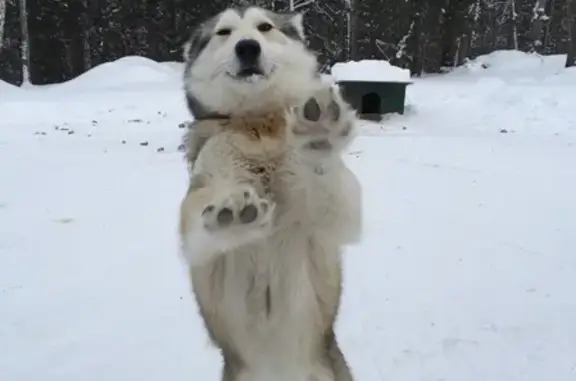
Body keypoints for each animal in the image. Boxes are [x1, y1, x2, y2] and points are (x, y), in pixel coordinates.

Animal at [178, 5, 362, 380]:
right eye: (224, 32)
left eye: (264, 27)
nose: (247, 47)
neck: (257, 124)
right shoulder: (201, 194)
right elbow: (196, 228)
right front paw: (231, 215)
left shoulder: (335, 218)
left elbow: (333, 195)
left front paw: (319, 137)